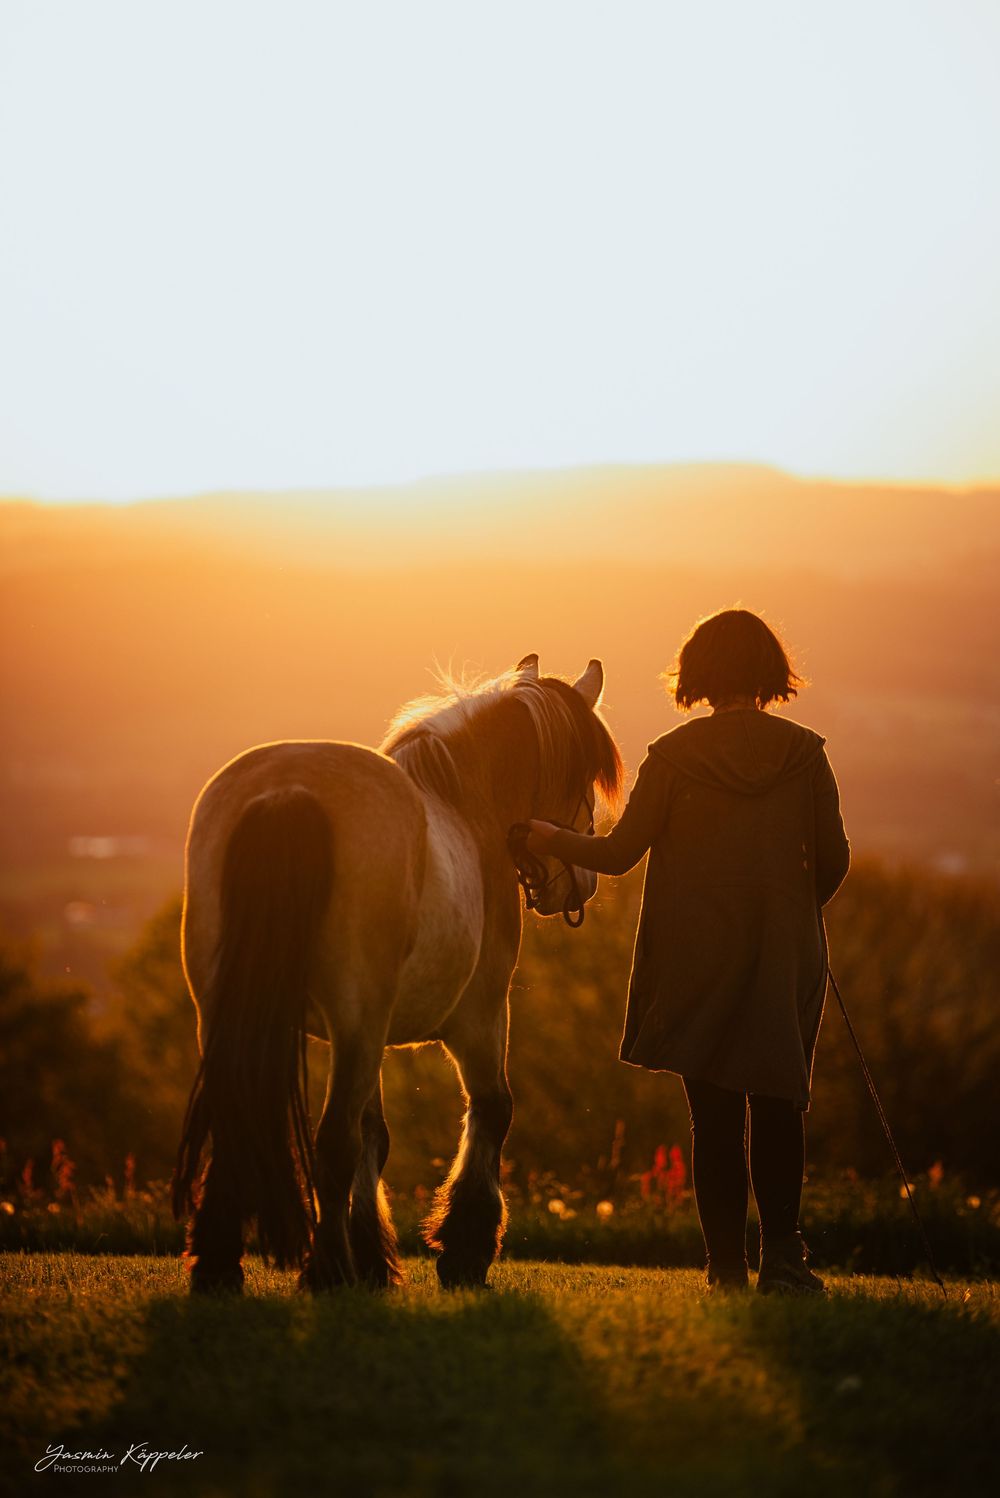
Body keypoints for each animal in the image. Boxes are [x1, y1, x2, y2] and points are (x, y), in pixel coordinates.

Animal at [172, 653, 623, 1293]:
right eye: (579, 782)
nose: (581, 883)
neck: (465, 805)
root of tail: (289, 792)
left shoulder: (370, 1033)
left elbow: (376, 1135)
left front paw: (376, 1257)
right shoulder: (479, 1015)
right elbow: (492, 1109)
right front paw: (464, 1248)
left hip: (228, 1013)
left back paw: (219, 1266)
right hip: (356, 1020)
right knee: (333, 1141)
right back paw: (327, 1269)